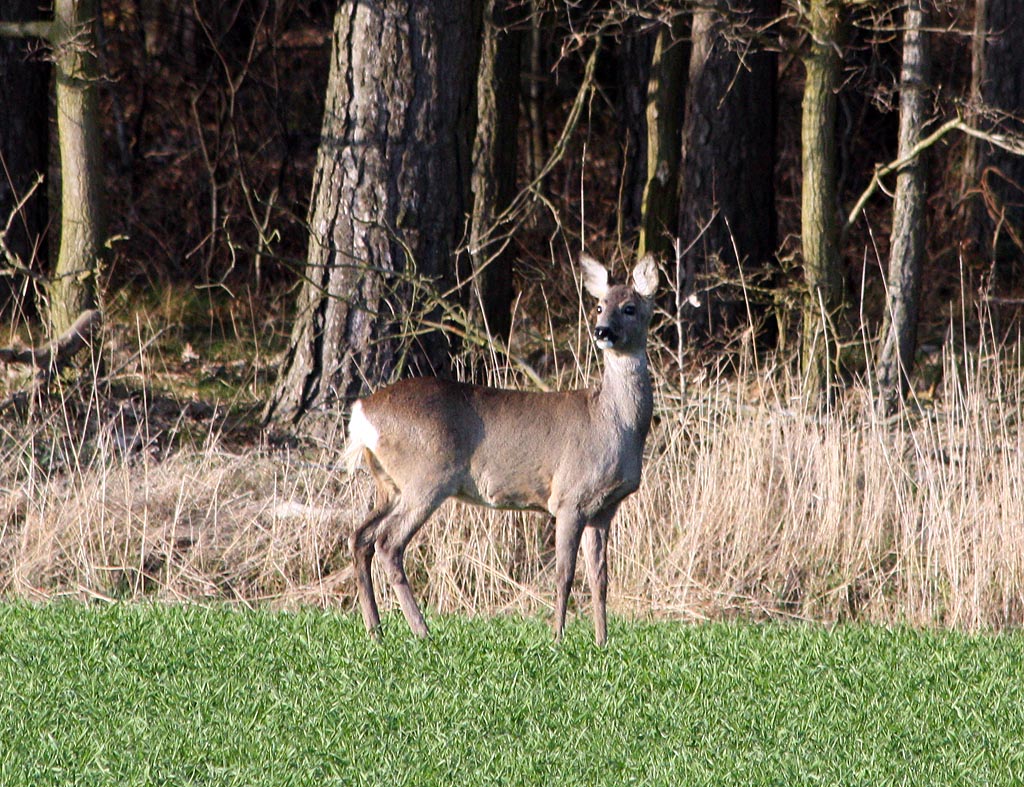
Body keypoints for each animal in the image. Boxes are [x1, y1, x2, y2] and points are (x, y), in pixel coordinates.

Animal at [348, 253, 659, 646]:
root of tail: (362, 411)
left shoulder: (603, 508)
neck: (613, 424)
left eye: (630, 307)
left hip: (389, 484)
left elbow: (599, 578)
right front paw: (557, 638)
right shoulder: (568, 497)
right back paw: (422, 630)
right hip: (426, 478)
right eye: (600, 306)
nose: (602, 331)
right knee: (388, 543)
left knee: (360, 537)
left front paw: (602, 641)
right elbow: (565, 575)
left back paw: (376, 629)